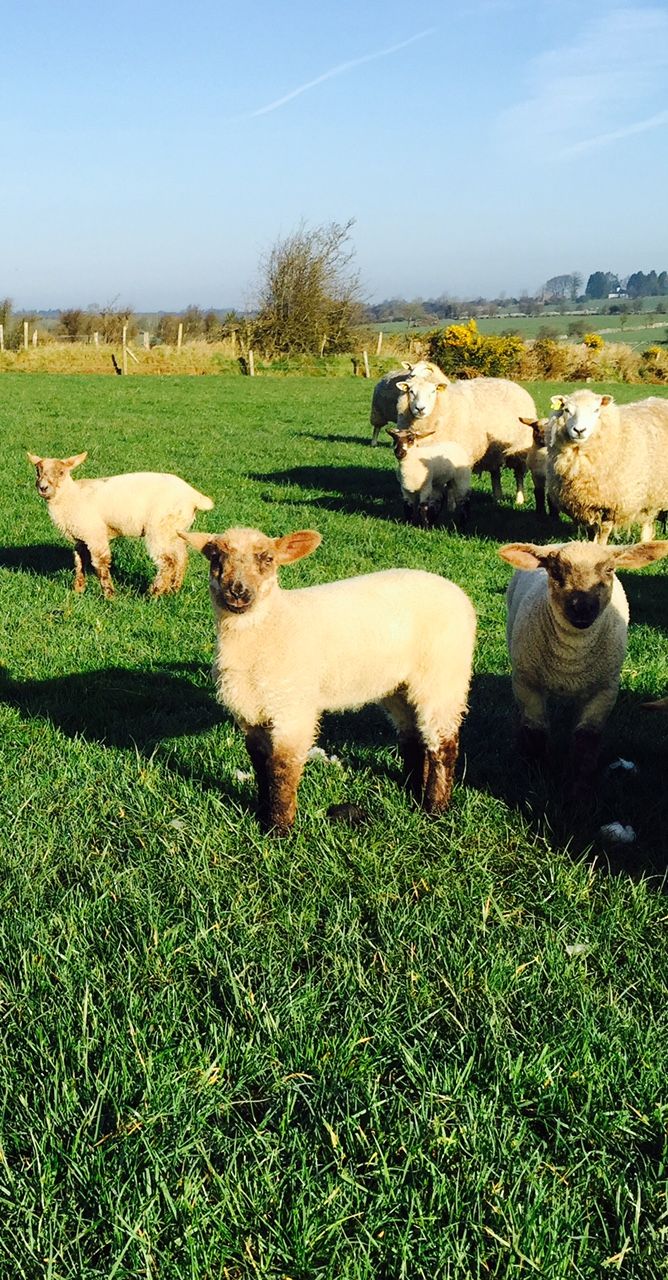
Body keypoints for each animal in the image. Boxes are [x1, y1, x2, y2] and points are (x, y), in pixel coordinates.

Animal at [27, 451, 214, 597]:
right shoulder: (81, 537)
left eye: (61, 472)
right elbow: (79, 562)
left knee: (167, 561)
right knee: (181, 557)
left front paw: (109, 595)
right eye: (37, 471)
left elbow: (100, 564)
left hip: (160, 528)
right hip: (176, 530)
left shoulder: (95, 534)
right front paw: (78, 590)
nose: (43, 487)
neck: (72, 496)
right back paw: (173, 590)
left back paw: (153, 594)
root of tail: (194, 496)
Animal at [180, 525, 476, 832]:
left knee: (443, 742)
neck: (272, 624)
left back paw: (435, 808)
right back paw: (412, 790)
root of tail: (456, 592)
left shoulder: (292, 708)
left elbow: (282, 767)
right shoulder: (249, 711)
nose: (238, 591)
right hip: (399, 685)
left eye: (268, 559)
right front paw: (262, 814)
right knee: (415, 736)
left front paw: (280, 829)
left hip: (444, 675)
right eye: (215, 557)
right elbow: (260, 762)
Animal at [396, 374, 536, 505]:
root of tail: (512, 383)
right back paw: (497, 498)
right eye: (411, 391)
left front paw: (451, 504)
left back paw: (519, 500)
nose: (420, 409)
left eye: (433, 391)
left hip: (519, 449)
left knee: (519, 475)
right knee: (495, 473)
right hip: (493, 451)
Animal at [498, 537, 668, 783]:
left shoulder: (604, 691)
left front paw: (579, 784)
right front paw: (533, 774)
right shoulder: (526, 683)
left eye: (609, 569)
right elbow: (535, 731)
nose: (583, 607)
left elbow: (586, 742)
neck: (571, 659)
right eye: (555, 571)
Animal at [547, 390, 668, 543]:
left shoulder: (611, 506)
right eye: (566, 410)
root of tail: (659, 400)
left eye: (596, 410)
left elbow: (603, 533)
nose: (579, 430)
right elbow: (592, 531)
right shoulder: (586, 505)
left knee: (647, 523)